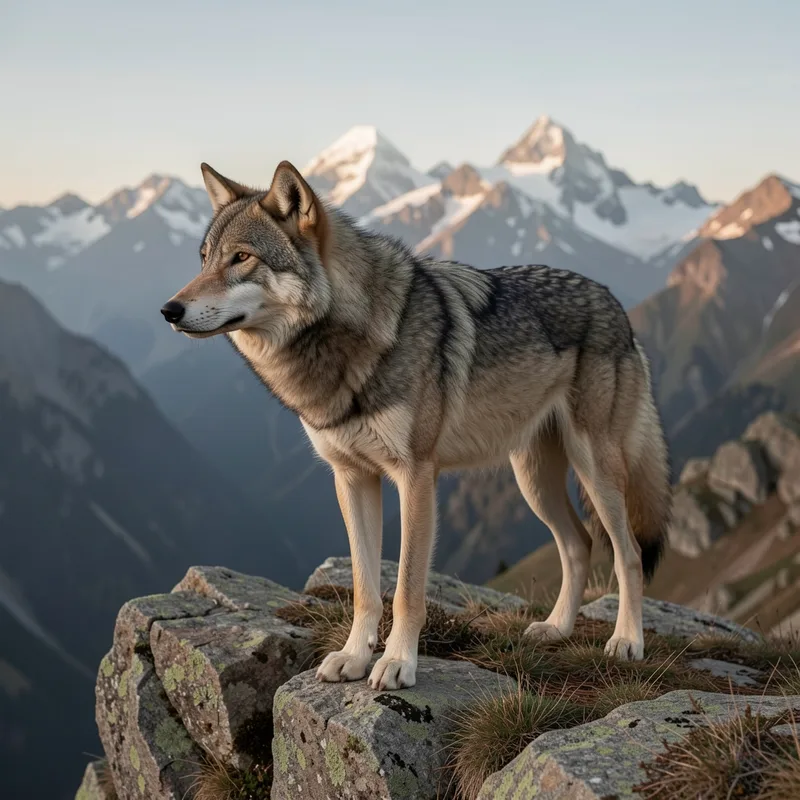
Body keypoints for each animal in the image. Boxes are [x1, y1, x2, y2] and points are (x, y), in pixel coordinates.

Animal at [161, 160, 671, 690]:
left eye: (241, 258)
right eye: (204, 259)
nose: (169, 310)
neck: (349, 340)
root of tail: (615, 304)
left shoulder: (416, 477)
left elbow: (406, 589)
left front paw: (396, 664)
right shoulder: (352, 479)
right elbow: (365, 587)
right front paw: (353, 657)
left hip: (595, 469)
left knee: (628, 552)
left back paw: (626, 640)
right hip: (533, 480)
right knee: (579, 544)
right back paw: (556, 628)